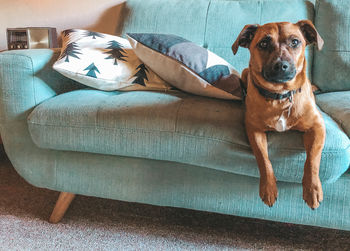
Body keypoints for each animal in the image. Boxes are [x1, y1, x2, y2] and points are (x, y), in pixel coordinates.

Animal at [232, 20, 326, 210]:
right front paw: (268, 188)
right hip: (245, 73)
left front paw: (312, 189)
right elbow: (263, 159)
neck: (281, 96)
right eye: (263, 43)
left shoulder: (317, 126)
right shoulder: (254, 130)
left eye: (295, 42)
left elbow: (313, 158)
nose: (281, 65)